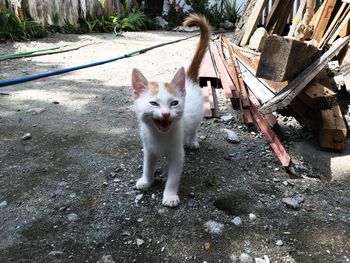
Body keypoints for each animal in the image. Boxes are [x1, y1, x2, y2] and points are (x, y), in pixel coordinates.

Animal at [131, 13, 211, 208]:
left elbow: (173, 177)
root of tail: (188, 80)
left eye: (174, 103)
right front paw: (146, 180)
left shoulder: (177, 154)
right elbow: (148, 166)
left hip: (197, 115)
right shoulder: (148, 148)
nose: (166, 114)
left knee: (194, 128)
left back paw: (193, 141)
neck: (160, 136)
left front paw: (170, 196)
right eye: (153, 103)